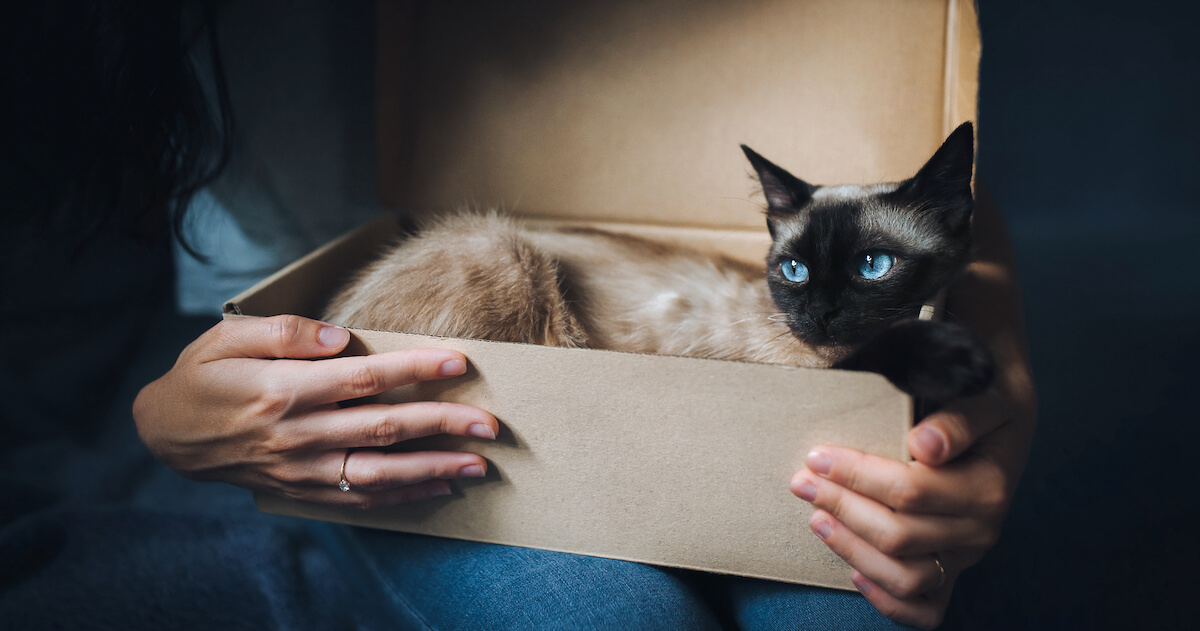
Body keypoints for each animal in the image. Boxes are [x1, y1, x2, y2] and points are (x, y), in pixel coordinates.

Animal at [321, 121, 993, 403]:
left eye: (872, 265)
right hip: (506, 248)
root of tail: (334, 311)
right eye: (795, 270)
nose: (822, 315)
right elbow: (872, 358)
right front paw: (957, 363)